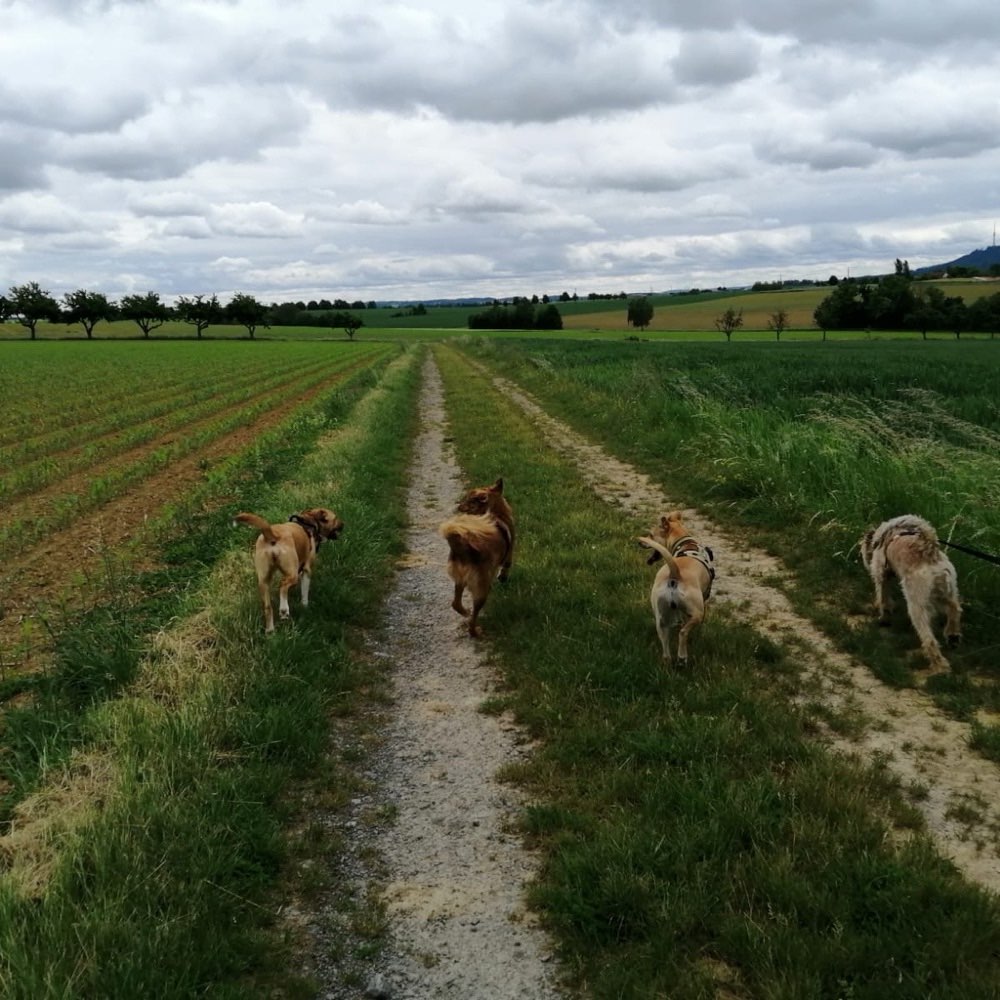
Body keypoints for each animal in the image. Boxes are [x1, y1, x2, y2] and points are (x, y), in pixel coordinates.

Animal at [438, 478, 516, 636]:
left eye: (468, 499)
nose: (459, 505)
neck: (496, 512)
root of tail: (463, 548)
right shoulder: (509, 554)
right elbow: (506, 567)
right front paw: (503, 578)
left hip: (459, 579)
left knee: (455, 604)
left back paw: (465, 613)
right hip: (482, 587)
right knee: (473, 616)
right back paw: (475, 631)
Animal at [636, 512, 716, 668]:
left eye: (650, 535)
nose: (640, 543)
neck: (685, 543)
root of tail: (675, 573)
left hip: (660, 621)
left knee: (666, 653)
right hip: (697, 612)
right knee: (683, 632)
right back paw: (682, 657)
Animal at [860, 516, 960, 672]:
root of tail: (930, 555)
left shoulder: (880, 573)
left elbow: (883, 597)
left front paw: (884, 618)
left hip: (916, 605)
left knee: (929, 639)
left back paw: (940, 665)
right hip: (949, 592)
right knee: (955, 609)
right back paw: (953, 636)